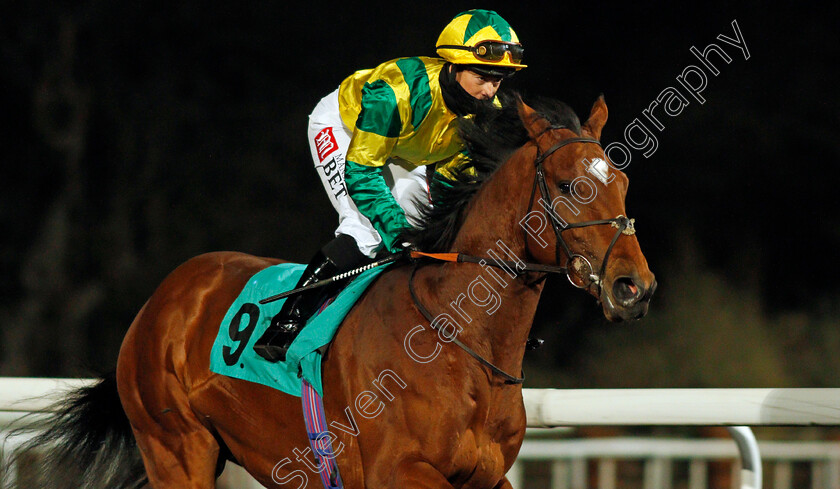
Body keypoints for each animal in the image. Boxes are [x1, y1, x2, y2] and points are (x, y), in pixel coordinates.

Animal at [6, 93, 656, 486]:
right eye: (569, 185)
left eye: (623, 182)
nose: (635, 287)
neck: (460, 339)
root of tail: (162, 297)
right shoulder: (401, 473)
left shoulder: (486, 475)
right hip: (176, 449)